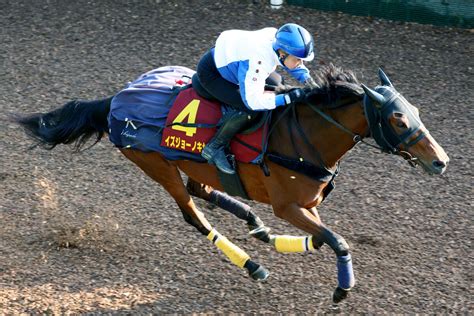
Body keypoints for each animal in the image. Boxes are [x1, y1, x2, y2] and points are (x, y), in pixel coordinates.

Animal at [12, 63, 448, 302]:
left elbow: (324, 236)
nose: (440, 161)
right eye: (397, 119)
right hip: (155, 163)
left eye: (415, 110)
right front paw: (342, 289)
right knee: (191, 212)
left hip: (189, 165)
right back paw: (253, 264)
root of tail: (117, 100)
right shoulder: (288, 205)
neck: (305, 136)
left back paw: (258, 229)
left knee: (202, 190)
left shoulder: (306, 205)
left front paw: (290, 241)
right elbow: (336, 240)